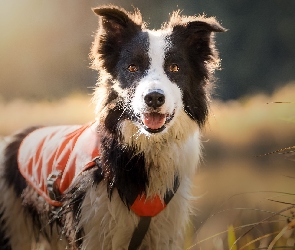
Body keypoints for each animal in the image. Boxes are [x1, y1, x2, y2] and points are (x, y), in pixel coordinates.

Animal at [0, 4, 224, 250]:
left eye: (174, 67)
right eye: (132, 67)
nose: (154, 98)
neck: (143, 149)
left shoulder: (163, 232)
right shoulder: (93, 228)